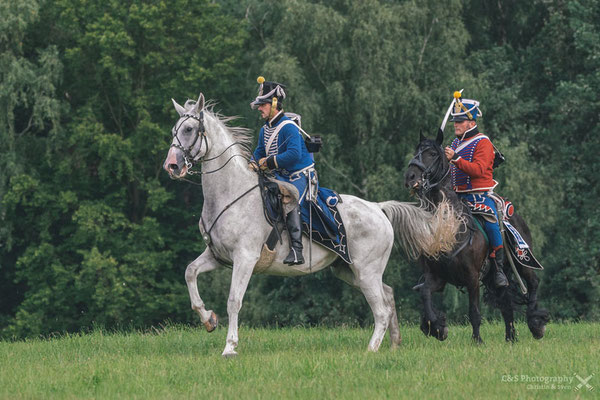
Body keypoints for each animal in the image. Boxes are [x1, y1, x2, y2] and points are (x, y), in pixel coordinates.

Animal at [162, 94, 458, 356]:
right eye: (175, 130)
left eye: (189, 129)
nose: (172, 166)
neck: (230, 193)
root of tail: (378, 208)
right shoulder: (217, 256)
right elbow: (190, 273)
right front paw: (208, 319)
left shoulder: (244, 258)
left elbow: (234, 300)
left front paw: (230, 347)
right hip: (350, 271)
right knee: (388, 294)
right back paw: (394, 344)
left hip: (366, 271)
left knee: (381, 310)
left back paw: (370, 350)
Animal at [404, 130, 548, 342]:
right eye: (416, 151)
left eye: (432, 153)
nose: (410, 177)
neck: (449, 228)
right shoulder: (436, 277)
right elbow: (424, 292)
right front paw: (436, 327)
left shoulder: (472, 278)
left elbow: (474, 312)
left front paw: (477, 340)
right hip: (495, 276)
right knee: (506, 303)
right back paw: (510, 337)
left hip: (522, 262)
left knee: (533, 283)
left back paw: (535, 323)